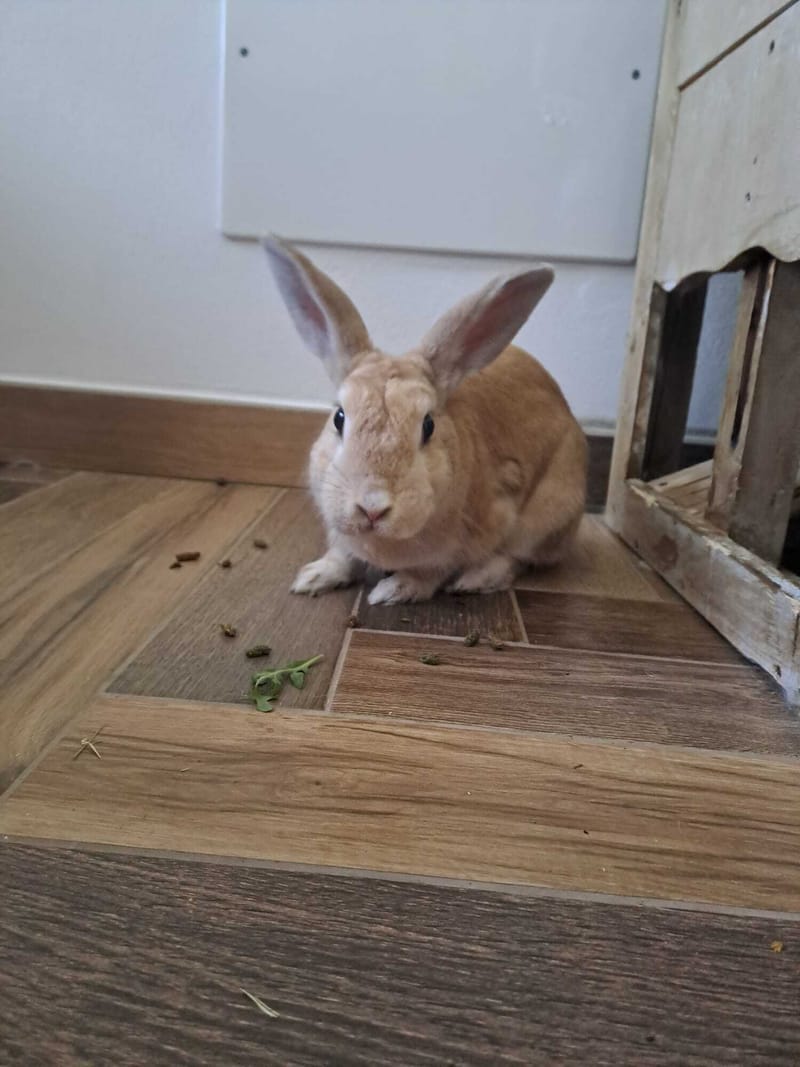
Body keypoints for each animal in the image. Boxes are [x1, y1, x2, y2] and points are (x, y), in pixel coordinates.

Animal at [263, 235, 587, 605]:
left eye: (428, 425)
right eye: (339, 418)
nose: (372, 506)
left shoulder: (473, 534)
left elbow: (430, 574)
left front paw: (391, 591)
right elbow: (342, 556)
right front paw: (313, 577)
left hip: (549, 515)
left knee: (516, 558)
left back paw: (475, 579)